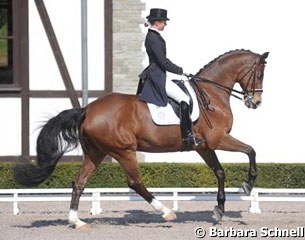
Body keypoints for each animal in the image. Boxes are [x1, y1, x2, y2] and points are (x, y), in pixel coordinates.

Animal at [13, 49, 268, 229]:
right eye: (260, 74)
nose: (255, 102)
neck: (211, 94)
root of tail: (87, 109)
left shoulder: (204, 147)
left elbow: (220, 172)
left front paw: (219, 210)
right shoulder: (218, 139)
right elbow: (251, 150)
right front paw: (248, 184)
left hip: (96, 153)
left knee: (79, 182)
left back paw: (76, 221)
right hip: (124, 151)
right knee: (135, 182)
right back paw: (166, 212)